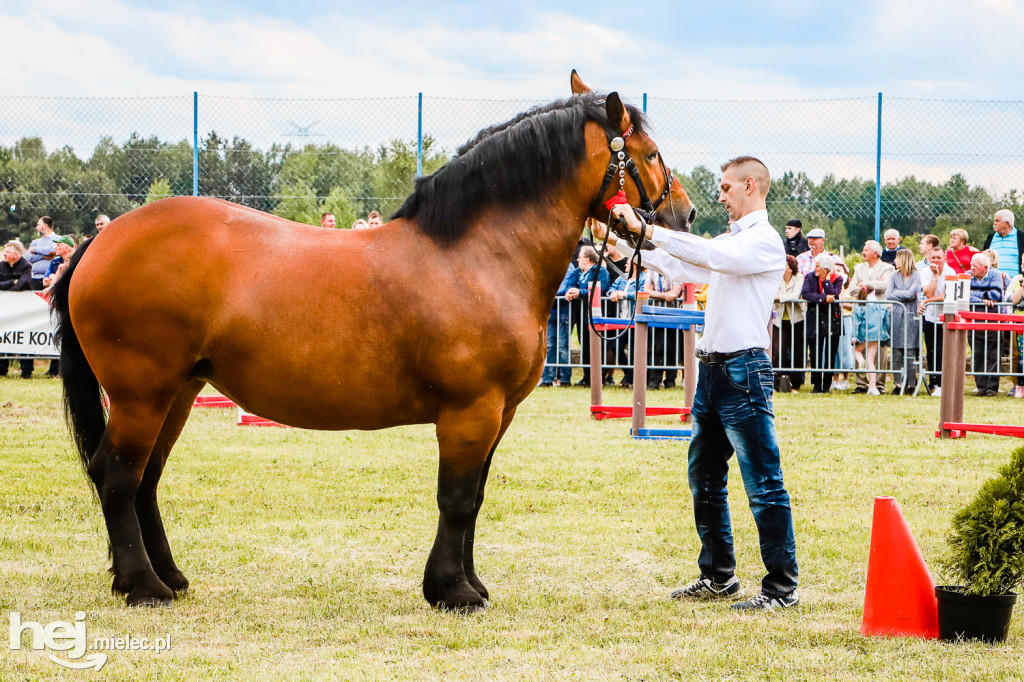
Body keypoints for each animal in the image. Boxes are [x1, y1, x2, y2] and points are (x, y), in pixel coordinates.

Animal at [51, 73, 700, 610]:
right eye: (650, 155)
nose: (687, 213)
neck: (477, 256)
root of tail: (102, 240)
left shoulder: (500, 414)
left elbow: (474, 498)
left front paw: (469, 583)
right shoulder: (471, 412)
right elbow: (455, 499)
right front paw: (452, 591)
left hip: (178, 392)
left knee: (146, 478)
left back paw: (167, 577)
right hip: (142, 394)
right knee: (117, 475)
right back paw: (143, 587)